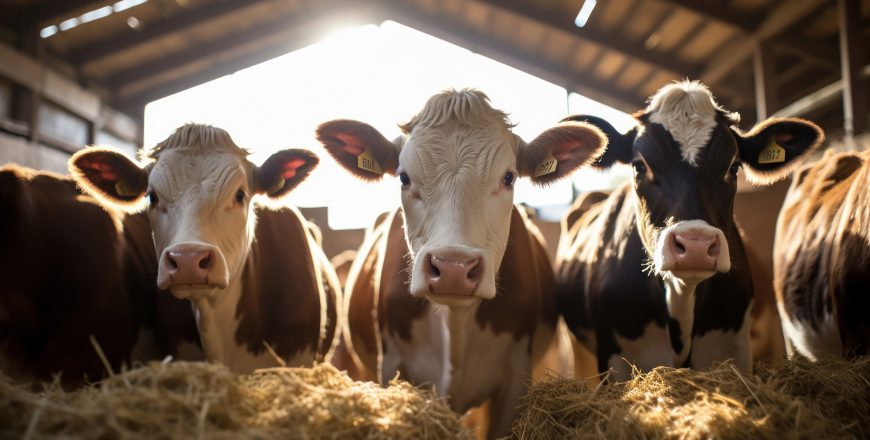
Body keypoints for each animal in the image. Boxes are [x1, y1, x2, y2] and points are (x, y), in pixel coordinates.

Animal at [560, 80, 824, 382]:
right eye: (639, 166)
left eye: (734, 167)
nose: (696, 245)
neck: (682, 298)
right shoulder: (615, 357)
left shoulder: (734, 346)